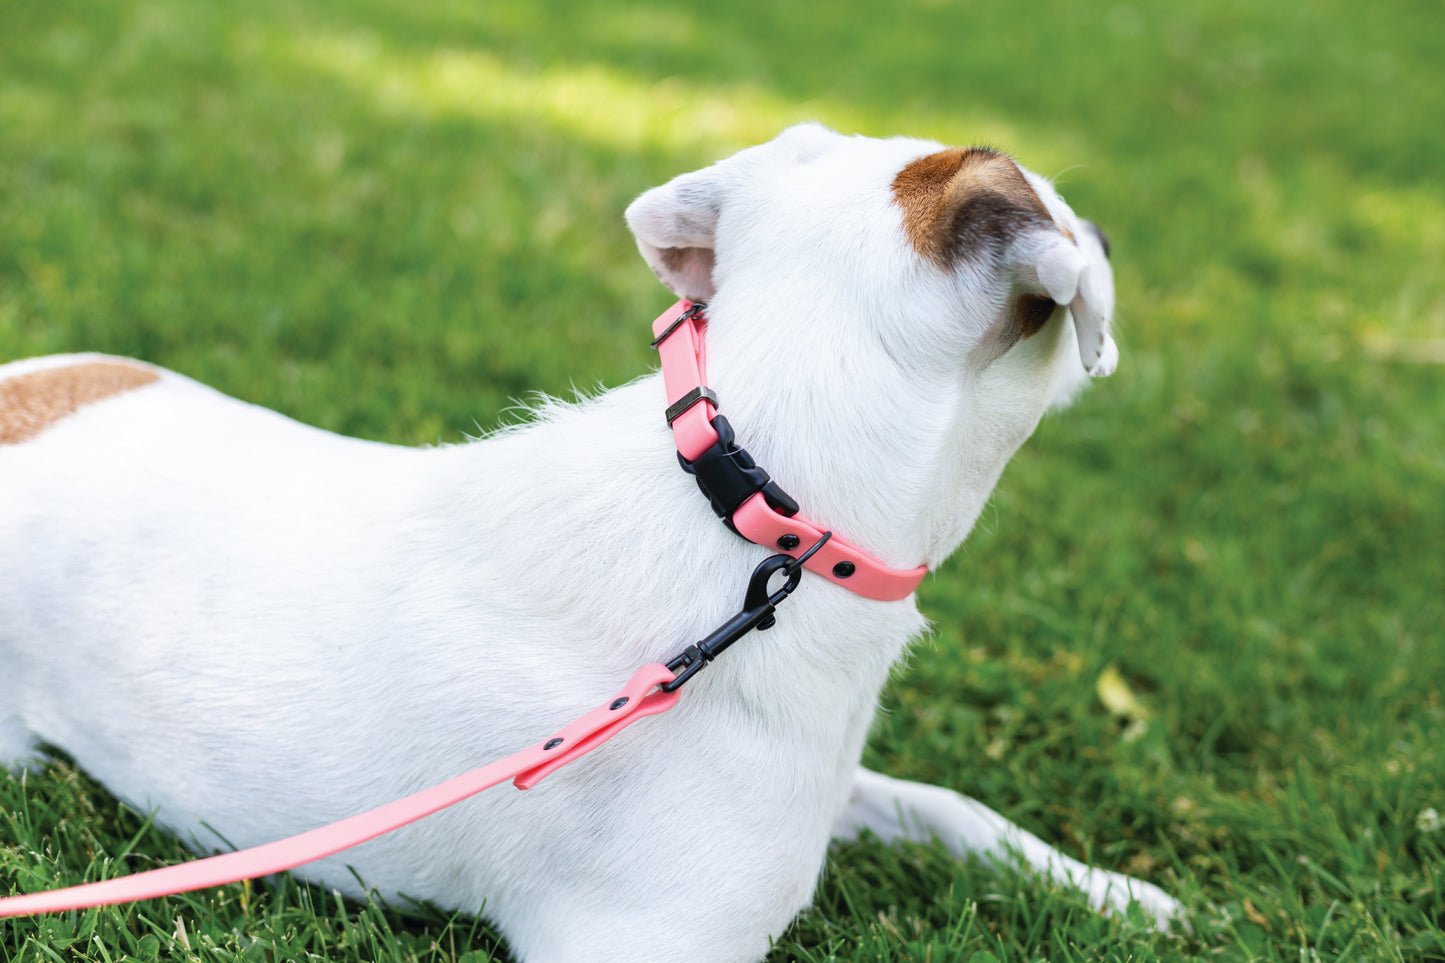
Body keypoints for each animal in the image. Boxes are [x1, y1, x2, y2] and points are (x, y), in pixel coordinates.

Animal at [2, 123, 1184, 954]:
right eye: (1070, 222)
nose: (1111, 237)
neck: (757, 508)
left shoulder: (829, 793)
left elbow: (953, 809)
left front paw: (1116, 894)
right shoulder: (639, 942)